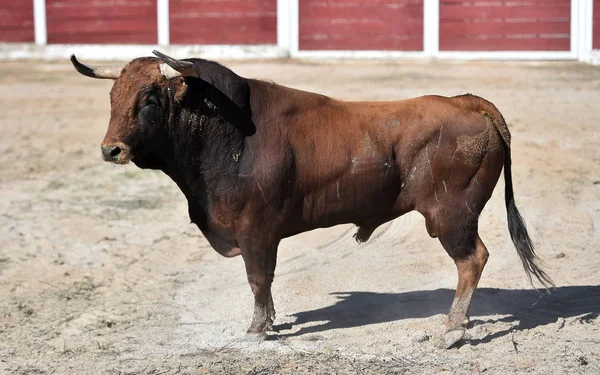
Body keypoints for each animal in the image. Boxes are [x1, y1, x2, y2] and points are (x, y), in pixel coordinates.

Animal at [70, 50, 552, 350]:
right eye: (113, 96)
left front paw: (258, 329)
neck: (223, 130)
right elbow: (264, 282)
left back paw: (452, 328)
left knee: (472, 259)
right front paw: (271, 321)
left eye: (151, 99)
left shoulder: (255, 230)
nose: (111, 150)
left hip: (452, 215)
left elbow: (258, 279)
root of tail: (468, 102)